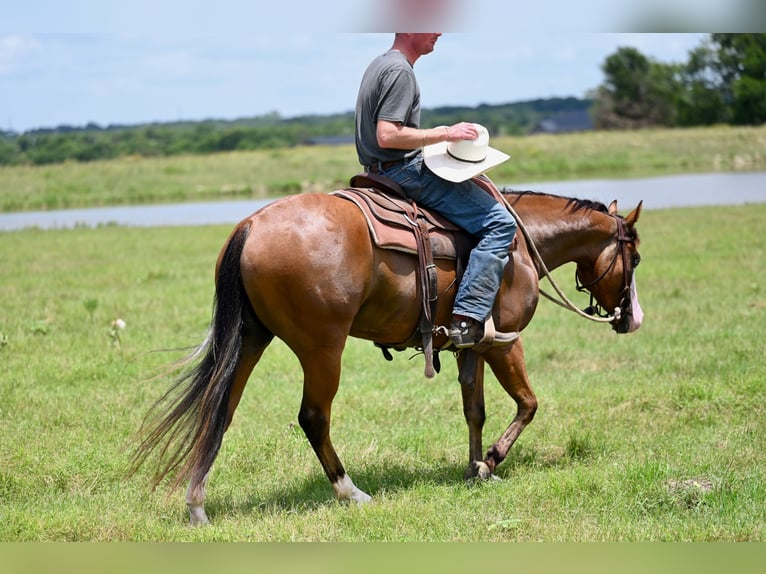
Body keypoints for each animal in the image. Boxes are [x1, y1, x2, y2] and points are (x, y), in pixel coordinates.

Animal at [132, 186, 640, 528]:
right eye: (634, 259)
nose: (631, 320)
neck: (517, 245)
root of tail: (251, 225)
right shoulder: (505, 342)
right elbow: (528, 404)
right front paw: (491, 462)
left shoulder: (472, 345)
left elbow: (474, 410)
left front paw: (475, 469)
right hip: (322, 348)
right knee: (313, 417)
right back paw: (350, 491)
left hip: (251, 339)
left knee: (219, 411)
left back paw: (197, 505)